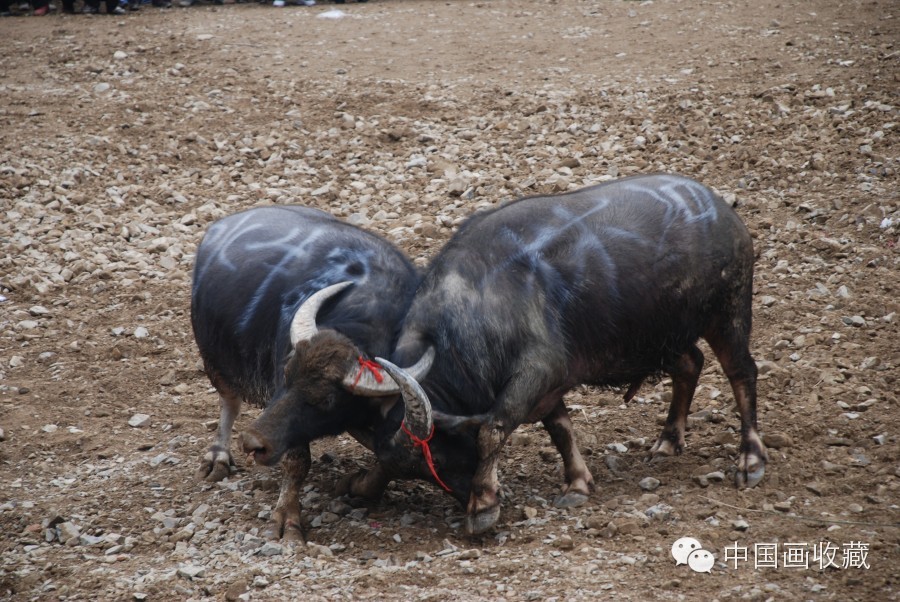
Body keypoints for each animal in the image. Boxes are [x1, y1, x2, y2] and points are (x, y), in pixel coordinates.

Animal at [191, 204, 426, 536]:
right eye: (285, 376)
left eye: (327, 400)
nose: (252, 442)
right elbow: (297, 460)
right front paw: (287, 518)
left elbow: (393, 455)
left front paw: (361, 487)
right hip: (213, 358)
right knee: (229, 402)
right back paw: (217, 458)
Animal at [370, 171, 768, 532]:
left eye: (437, 453)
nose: (463, 492)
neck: (479, 301)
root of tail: (722, 211)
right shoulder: (549, 384)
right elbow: (560, 429)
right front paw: (577, 483)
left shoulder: (536, 372)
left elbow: (493, 430)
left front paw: (482, 507)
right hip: (659, 337)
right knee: (690, 363)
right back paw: (667, 442)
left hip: (728, 312)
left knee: (742, 372)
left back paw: (750, 461)